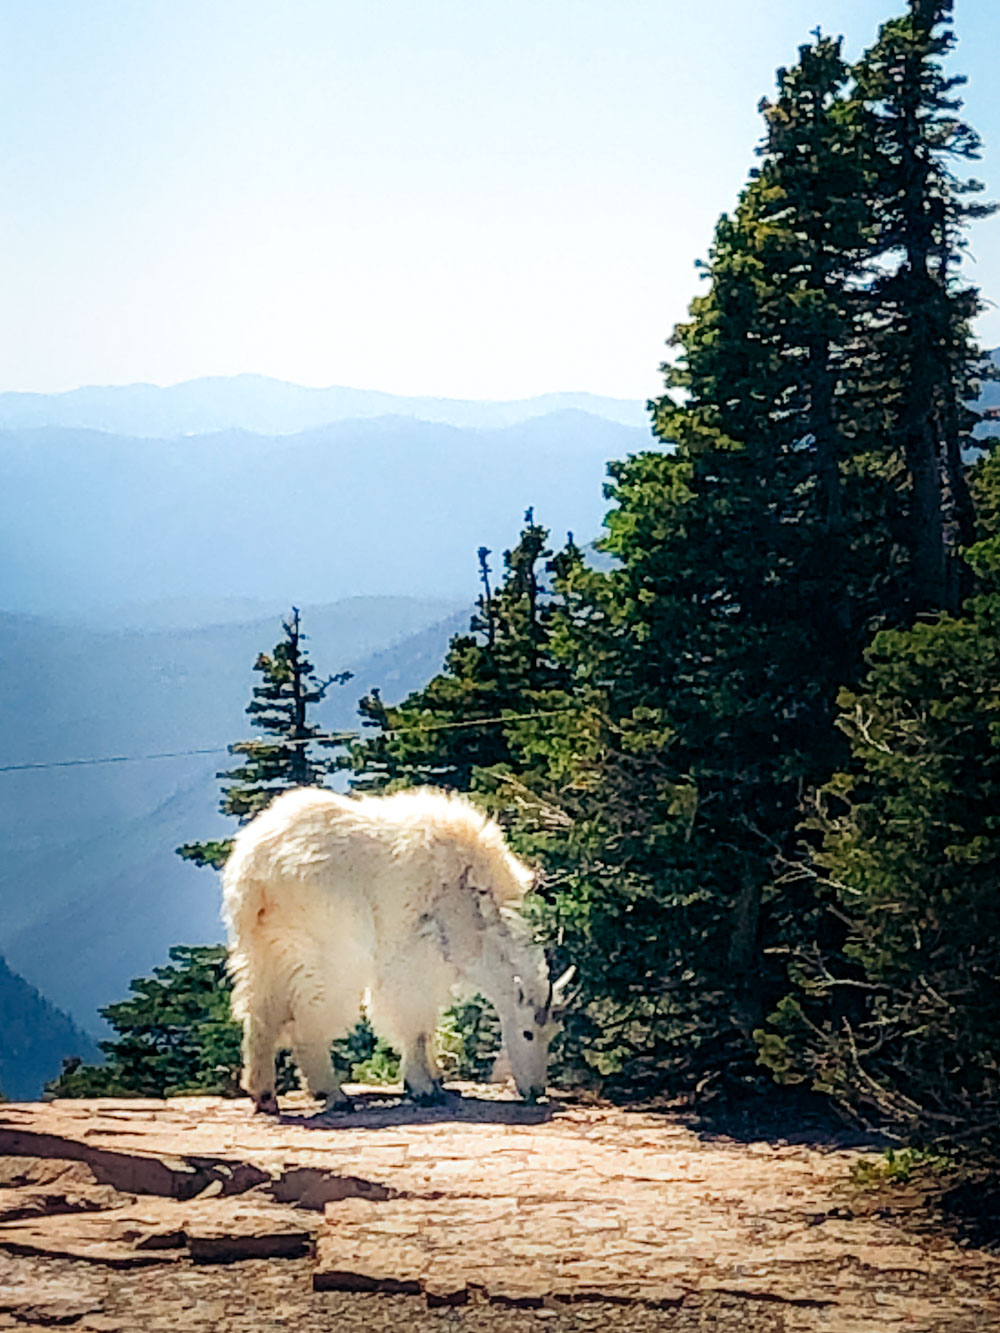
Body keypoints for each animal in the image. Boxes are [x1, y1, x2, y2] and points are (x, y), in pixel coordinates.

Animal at [224, 783, 576, 1109]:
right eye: (528, 1032)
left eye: (553, 1034)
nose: (536, 1092)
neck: (474, 909)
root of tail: (255, 869)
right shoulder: (414, 956)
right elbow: (415, 1023)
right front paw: (422, 1087)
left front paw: (436, 1079)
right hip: (328, 948)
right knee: (309, 1015)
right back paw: (332, 1093)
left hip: (263, 945)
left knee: (259, 1012)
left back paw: (264, 1094)